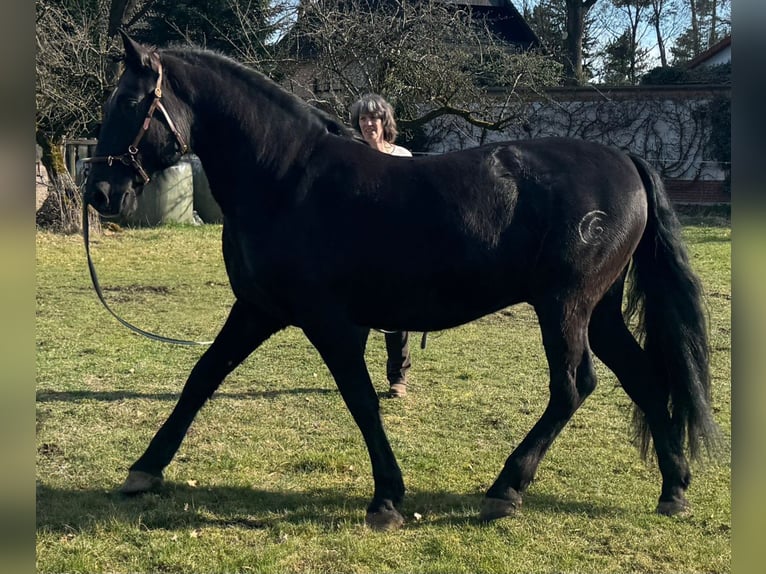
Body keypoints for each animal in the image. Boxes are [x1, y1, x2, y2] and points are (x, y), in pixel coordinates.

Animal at [83, 31, 719, 531]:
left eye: (132, 101)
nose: (100, 194)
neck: (285, 178)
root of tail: (625, 160)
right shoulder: (258, 310)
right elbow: (202, 376)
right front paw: (144, 468)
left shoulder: (330, 322)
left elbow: (361, 400)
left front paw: (387, 497)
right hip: (600, 309)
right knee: (644, 379)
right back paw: (674, 489)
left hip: (565, 306)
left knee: (573, 386)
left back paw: (506, 489)